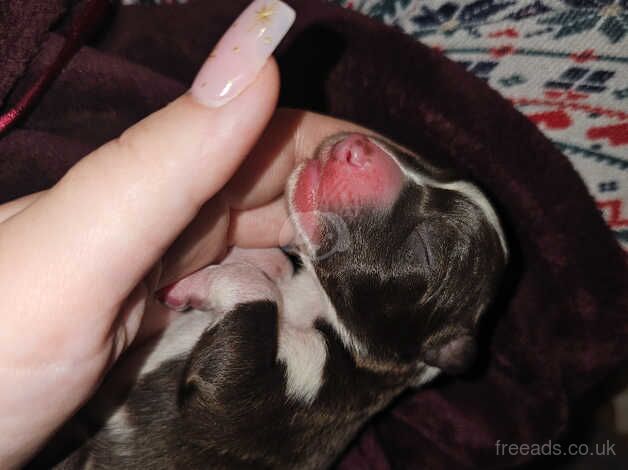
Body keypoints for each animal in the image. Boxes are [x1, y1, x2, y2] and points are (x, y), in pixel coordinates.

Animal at [59, 132, 508, 470]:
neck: (313, 299)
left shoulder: (260, 401)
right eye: (422, 160)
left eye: (425, 249)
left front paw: (214, 281)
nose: (359, 146)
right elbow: (270, 268)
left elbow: (258, 300)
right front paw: (219, 272)